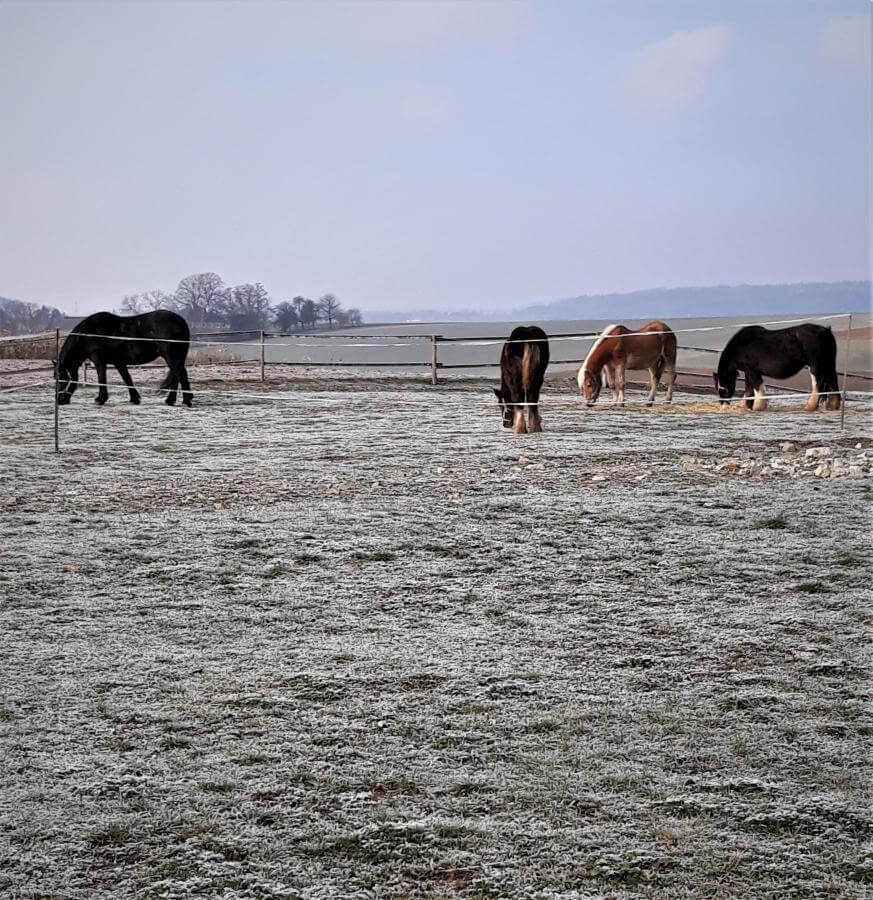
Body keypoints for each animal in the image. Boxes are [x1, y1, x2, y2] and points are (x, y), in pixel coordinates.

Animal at [55, 310, 193, 407]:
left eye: (61, 378)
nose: (59, 400)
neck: (88, 333)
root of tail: (181, 321)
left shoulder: (99, 360)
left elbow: (102, 379)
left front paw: (100, 399)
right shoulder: (119, 362)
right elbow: (127, 379)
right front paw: (134, 399)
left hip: (170, 356)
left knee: (180, 374)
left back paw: (185, 401)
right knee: (178, 375)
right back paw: (172, 400)